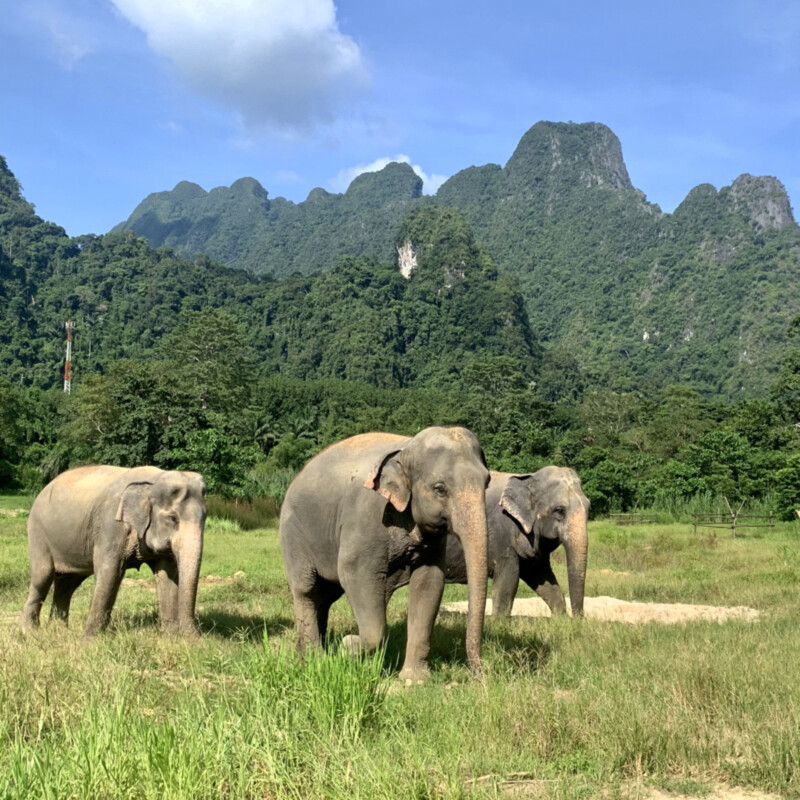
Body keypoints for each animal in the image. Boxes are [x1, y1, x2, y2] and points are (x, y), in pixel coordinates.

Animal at [19, 465, 207, 637]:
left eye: (205, 517)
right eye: (173, 518)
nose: (198, 640)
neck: (154, 480)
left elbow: (167, 575)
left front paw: (171, 637)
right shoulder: (110, 527)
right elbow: (110, 573)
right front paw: (89, 640)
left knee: (67, 583)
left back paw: (60, 631)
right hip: (37, 534)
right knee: (43, 577)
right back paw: (30, 632)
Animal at [280, 426, 490, 682]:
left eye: (487, 483)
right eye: (440, 489)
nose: (480, 676)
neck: (406, 448)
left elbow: (429, 582)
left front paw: (413, 681)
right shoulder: (366, 516)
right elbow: (354, 573)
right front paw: (347, 646)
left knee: (326, 595)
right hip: (293, 534)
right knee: (306, 589)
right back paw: (314, 661)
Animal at [445, 466, 589, 617]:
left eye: (589, 507)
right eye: (559, 510)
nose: (578, 619)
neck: (528, 478)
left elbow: (542, 577)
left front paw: (560, 618)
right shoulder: (501, 534)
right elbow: (508, 579)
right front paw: (498, 621)